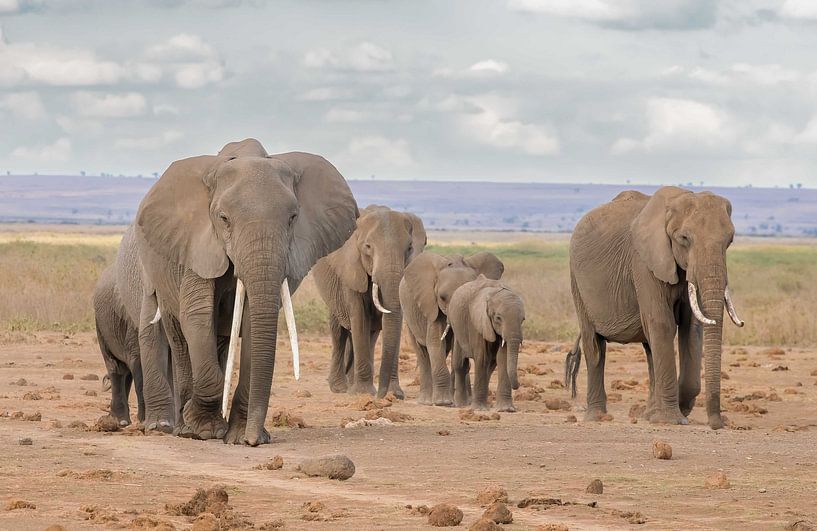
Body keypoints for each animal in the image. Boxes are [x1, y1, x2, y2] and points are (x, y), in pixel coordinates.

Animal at [134, 138, 356, 444]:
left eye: (293, 218)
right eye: (223, 218)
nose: (254, 439)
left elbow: (254, 322)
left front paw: (240, 437)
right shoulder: (198, 243)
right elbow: (197, 315)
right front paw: (204, 430)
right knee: (179, 336)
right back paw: (184, 428)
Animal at [312, 206, 428, 396]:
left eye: (410, 247)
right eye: (367, 247)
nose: (382, 395)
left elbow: (392, 322)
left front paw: (394, 393)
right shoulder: (351, 270)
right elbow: (359, 317)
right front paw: (363, 393)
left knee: (369, 334)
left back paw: (351, 383)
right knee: (339, 332)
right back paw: (340, 388)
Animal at [396, 251, 504, 406]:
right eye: (442, 297)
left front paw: (458, 402)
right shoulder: (432, 305)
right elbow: (435, 341)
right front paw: (443, 402)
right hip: (409, 314)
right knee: (422, 352)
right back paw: (426, 401)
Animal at [446, 276, 524, 414]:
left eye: (523, 320)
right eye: (498, 318)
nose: (518, 386)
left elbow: (503, 358)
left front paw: (506, 409)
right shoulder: (477, 322)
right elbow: (482, 358)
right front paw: (479, 409)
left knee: (490, 367)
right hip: (457, 328)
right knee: (460, 364)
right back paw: (461, 404)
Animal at [564, 185, 744, 430]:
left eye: (730, 241)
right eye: (684, 238)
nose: (718, 424)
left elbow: (691, 328)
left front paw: (676, 410)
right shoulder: (642, 262)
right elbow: (662, 323)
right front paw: (672, 420)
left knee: (650, 348)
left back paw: (649, 413)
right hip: (577, 282)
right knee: (594, 346)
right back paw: (597, 417)